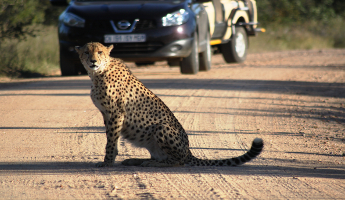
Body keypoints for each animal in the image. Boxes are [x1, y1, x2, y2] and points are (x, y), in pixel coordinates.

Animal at [76, 42, 264, 167]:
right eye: (86, 52)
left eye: (99, 52)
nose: (93, 61)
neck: (98, 73)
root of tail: (188, 151)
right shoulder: (107, 113)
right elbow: (112, 138)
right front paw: (112, 158)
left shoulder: (116, 113)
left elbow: (111, 139)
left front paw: (107, 162)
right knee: (159, 156)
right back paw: (135, 160)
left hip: (162, 127)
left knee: (175, 161)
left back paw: (149, 164)